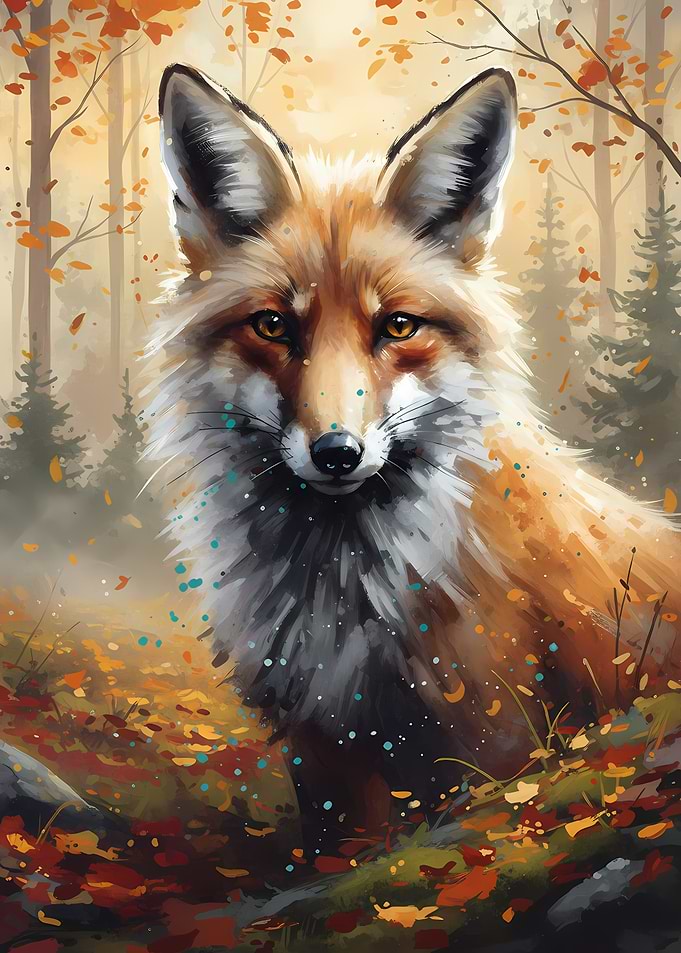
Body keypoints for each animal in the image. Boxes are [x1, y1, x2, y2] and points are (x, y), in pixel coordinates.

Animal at [147, 63, 681, 846]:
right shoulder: (324, 754)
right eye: (273, 326)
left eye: (397, 326)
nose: (337, 451)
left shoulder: (496, 741)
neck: (344, 594)